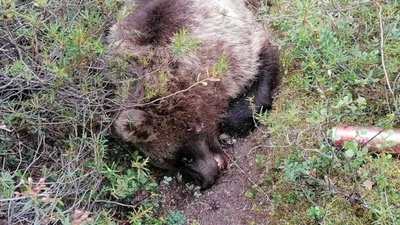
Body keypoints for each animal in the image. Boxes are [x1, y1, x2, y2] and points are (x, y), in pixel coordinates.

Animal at [108, 0, 278, 188]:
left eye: (183, 158)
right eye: (170, 164)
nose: (206, 181)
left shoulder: (234, 44)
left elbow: (262, 62)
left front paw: (230, 118)